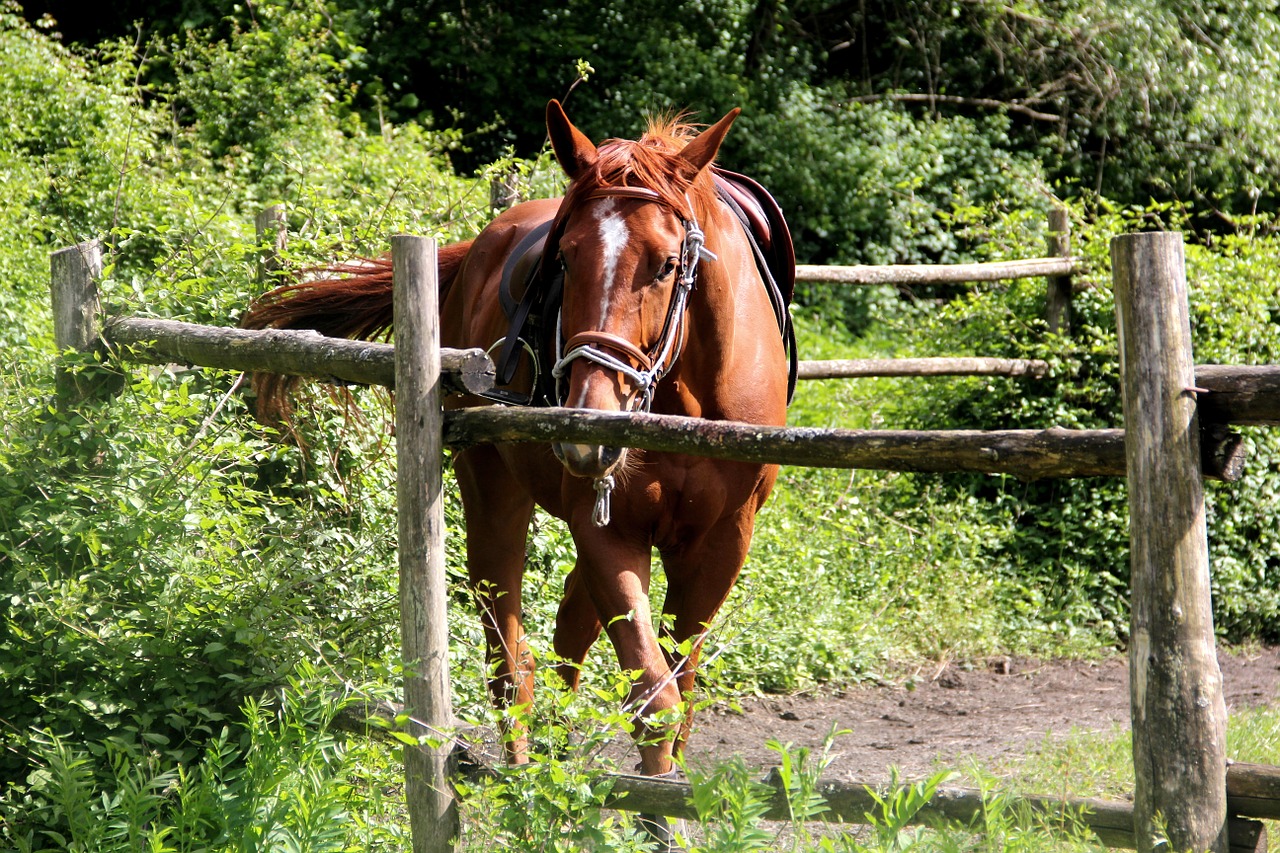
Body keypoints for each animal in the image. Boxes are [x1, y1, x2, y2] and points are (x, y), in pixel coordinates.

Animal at [241, 101, 788, 788]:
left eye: (667, 263)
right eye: (565, 260)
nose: (588, 425)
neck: (684, 399)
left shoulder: (722, 543)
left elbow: (678, 687)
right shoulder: (608, 528)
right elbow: (654, 696)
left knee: (569, 629)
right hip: (490, 489)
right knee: (511, 655)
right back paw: (525, 777)